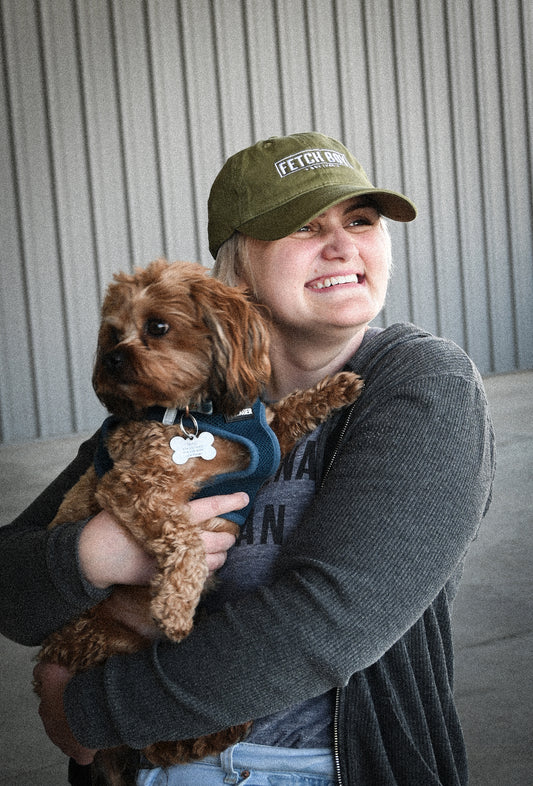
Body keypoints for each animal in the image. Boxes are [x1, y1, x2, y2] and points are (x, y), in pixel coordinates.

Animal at [36, 258, 362, 784]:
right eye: (112, 334)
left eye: (157, 327)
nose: (111, 360)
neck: (195, 414)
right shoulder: (134, 484)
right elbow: (186, 538)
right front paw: (175, 604)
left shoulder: (270, 442)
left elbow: (289, 411)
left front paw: (335, 388)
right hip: (106, 643)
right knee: (153, 739)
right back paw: (213, 733)